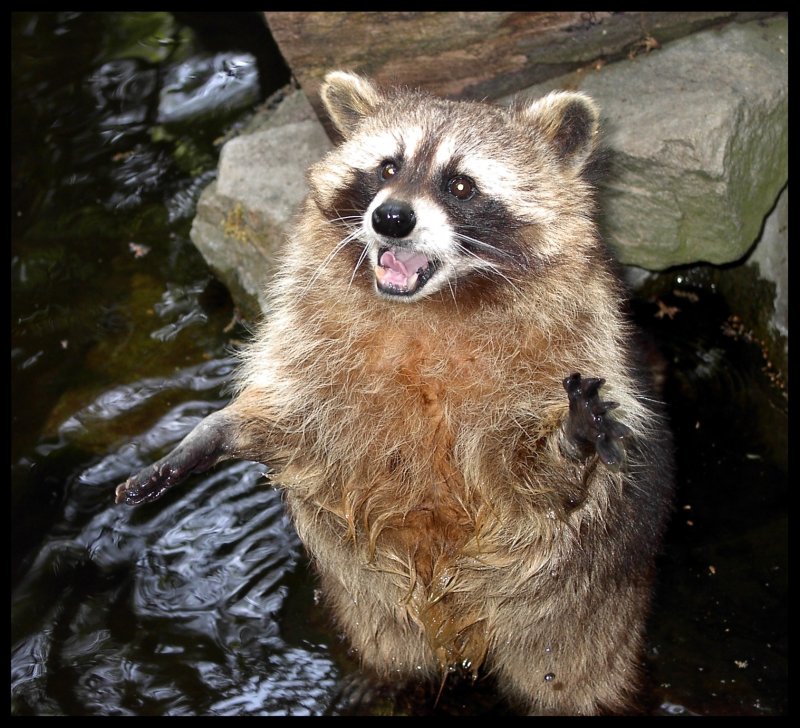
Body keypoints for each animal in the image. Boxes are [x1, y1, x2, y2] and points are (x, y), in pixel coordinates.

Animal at [114, 71, 676, 712]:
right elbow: (292, 422)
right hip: (375, 614)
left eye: (460, 185)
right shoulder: (315, 345)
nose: (391, 217)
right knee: (392, 651)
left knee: (578, 678)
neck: (430, 306)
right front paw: (216, 430)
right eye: (386, 167)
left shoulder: (571, 349)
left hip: (585, 617)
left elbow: (528, 476)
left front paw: (568, 442)